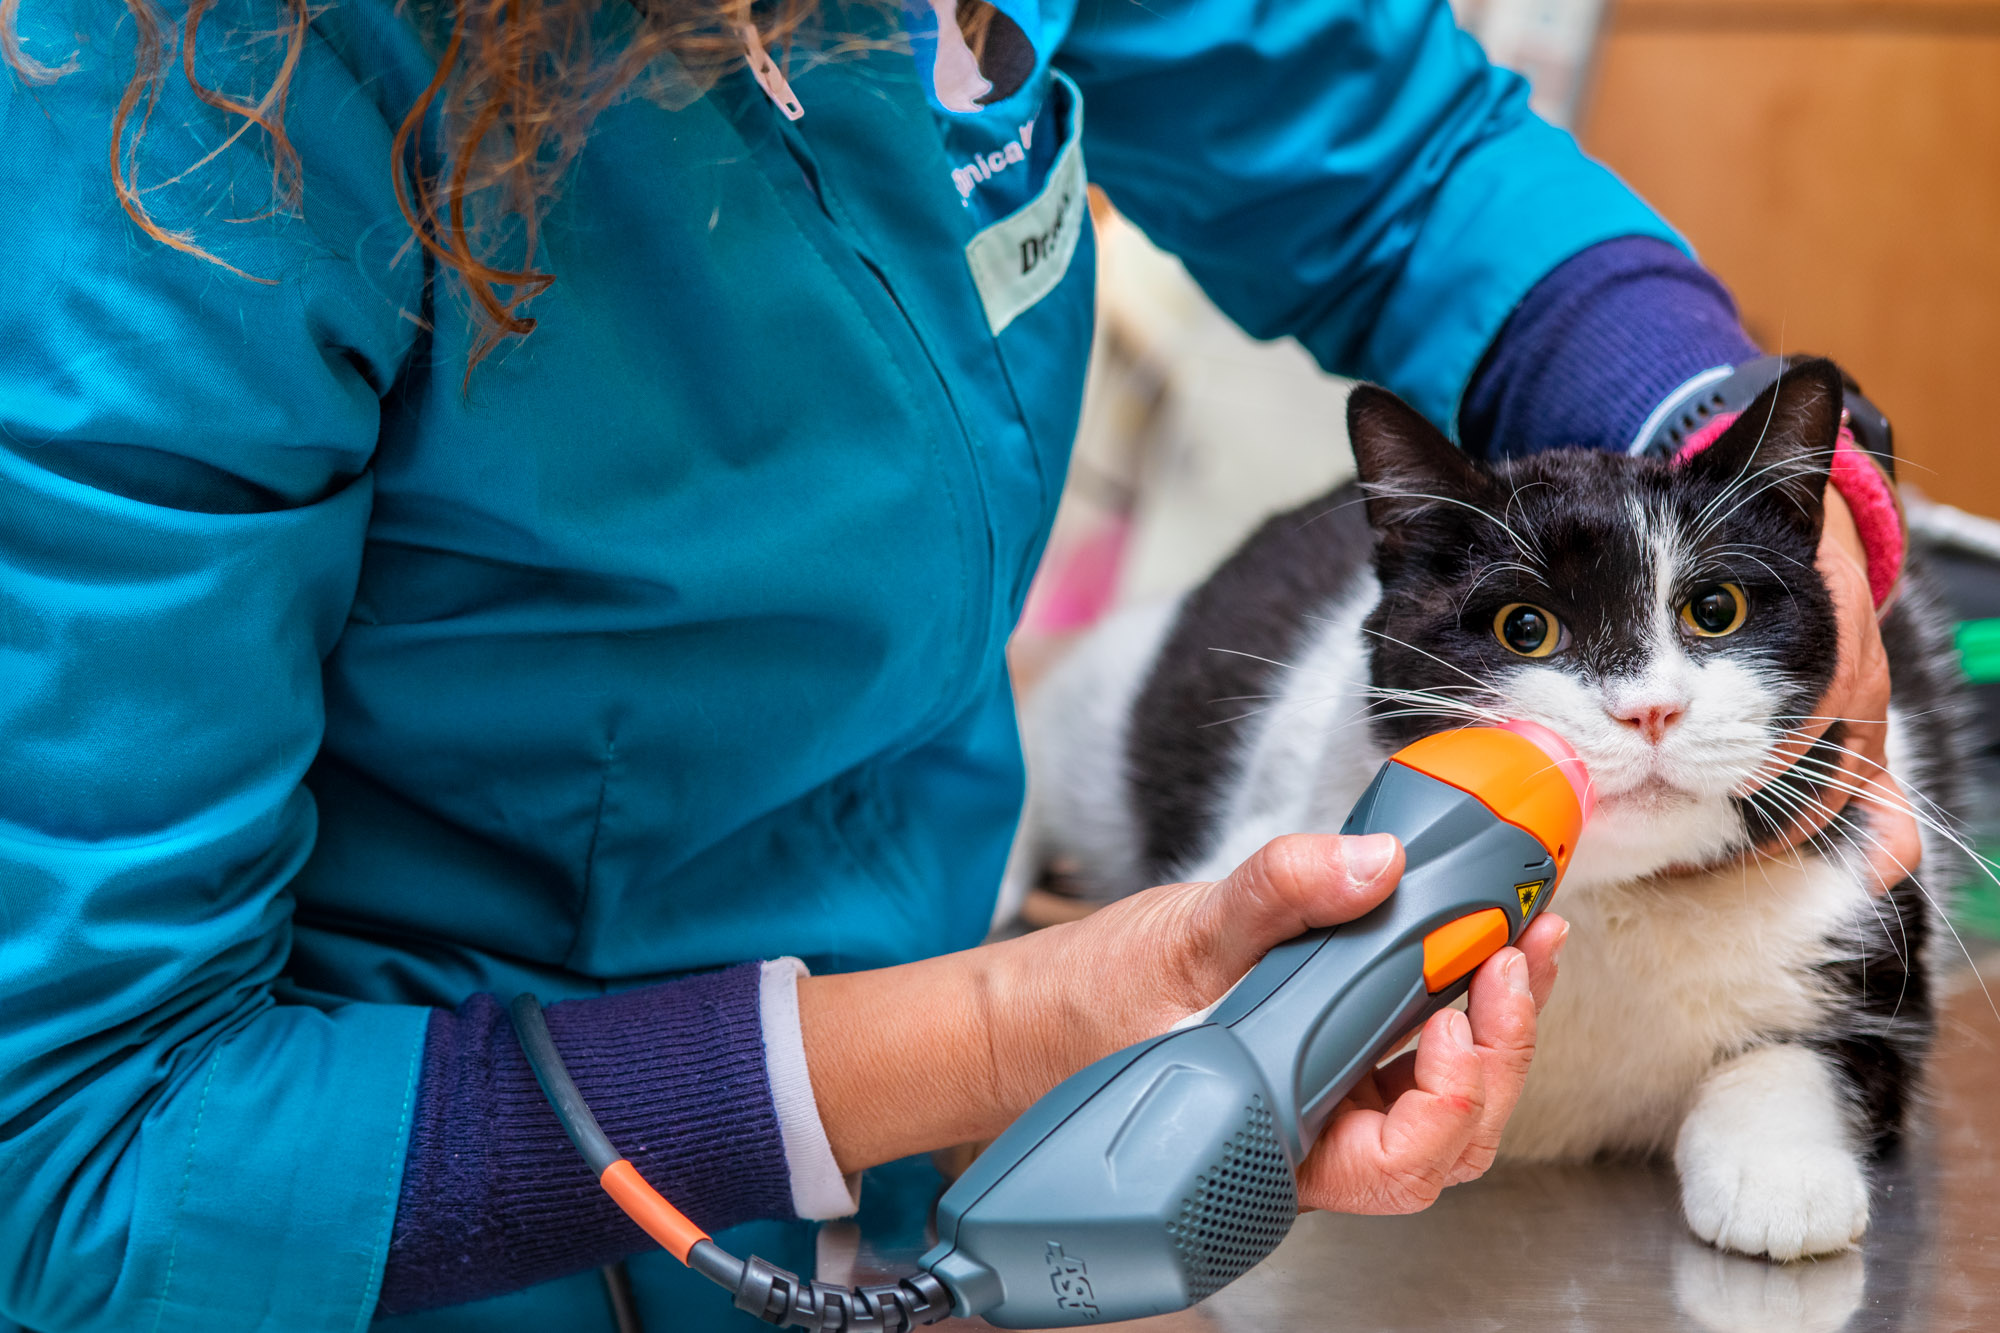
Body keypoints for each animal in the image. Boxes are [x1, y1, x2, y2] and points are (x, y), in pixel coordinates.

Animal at [1016, 360, 1968, 1256]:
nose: (1649, 710)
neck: (1606, 907)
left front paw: (1781, 1177)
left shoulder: (1870, 886)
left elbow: (1821, 1053)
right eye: (1526, 629)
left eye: (1715, 610)